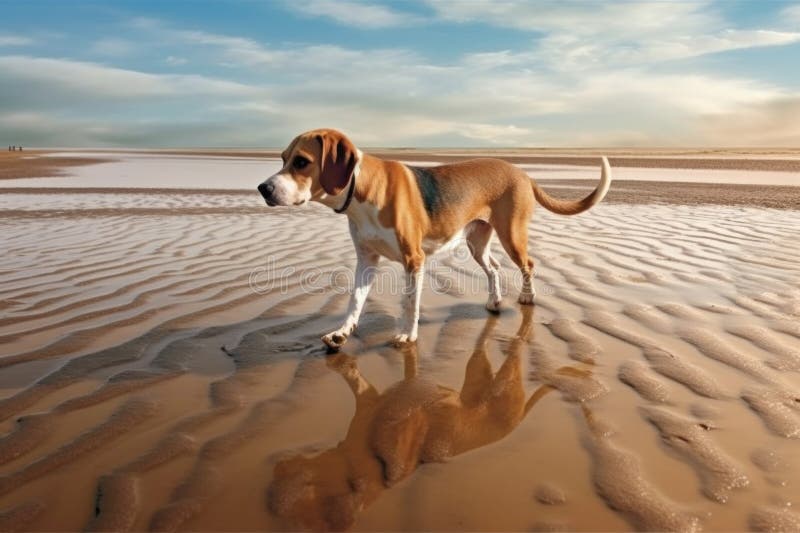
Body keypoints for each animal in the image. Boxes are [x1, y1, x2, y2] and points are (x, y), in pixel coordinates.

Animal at [260, 127, 608, 348]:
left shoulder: (414, 260)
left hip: (512, 235)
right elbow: (354, 301)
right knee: (494, 267)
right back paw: (495, 301)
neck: (363, 188)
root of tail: (523, 173)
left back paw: (527, 297)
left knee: (529, 264)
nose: (263, 188)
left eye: (302, 162)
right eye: (282, 158)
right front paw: (342, 332)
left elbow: (409, 302)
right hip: (476, 242)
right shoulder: (366, 261)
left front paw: (407, 335)